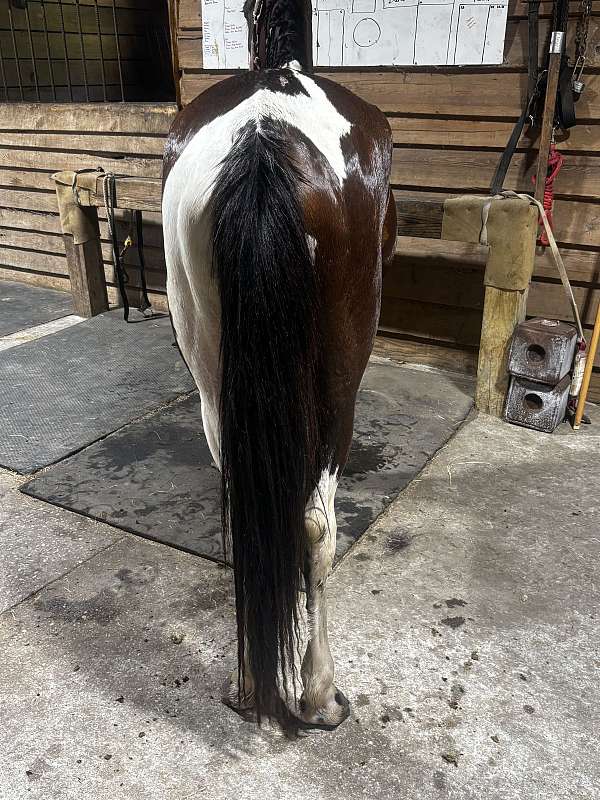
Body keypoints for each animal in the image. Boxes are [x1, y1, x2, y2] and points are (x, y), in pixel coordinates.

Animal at [162, 0, 396, 727]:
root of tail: (264, 138)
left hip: (214, 382)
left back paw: (249, 683)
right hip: (338, 388)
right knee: (314, 523)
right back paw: (317, 695)